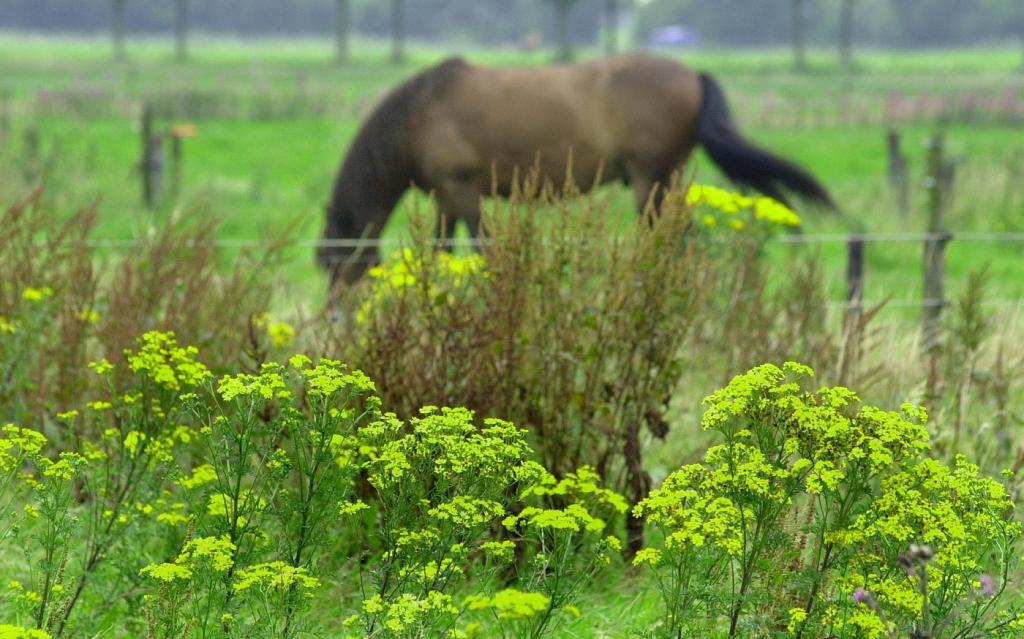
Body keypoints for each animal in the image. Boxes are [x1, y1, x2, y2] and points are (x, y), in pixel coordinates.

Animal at [317, 53, 831, 282]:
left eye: (338, 267)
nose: (335, 323)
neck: (423, 112)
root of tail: (694, 76)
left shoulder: (463, 191)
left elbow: (481, 248)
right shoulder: (446, 198)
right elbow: (443, 250)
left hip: (651, 181)